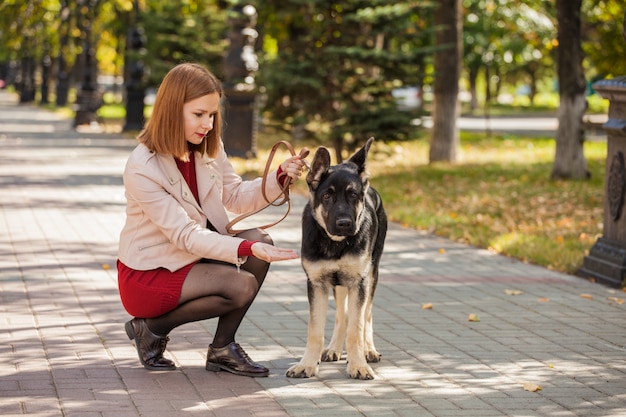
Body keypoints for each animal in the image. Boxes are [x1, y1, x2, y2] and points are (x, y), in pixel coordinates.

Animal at [286, 138, 386, 378]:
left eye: (353, 195)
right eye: (327, 196)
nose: (344, 224)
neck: (335, 243)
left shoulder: (359, 282)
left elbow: (356, 327)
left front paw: (358, 364)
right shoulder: (317, 283)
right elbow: (315, 329)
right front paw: (307, 364)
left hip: (372, 274)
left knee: (366, 314)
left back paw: (368, 350)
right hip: (340, 284)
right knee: (343, 314)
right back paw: (333, 349)